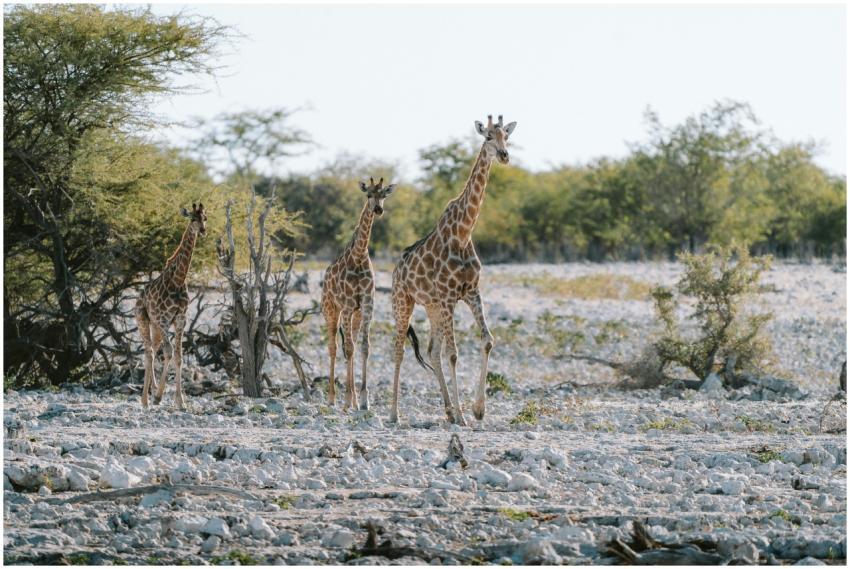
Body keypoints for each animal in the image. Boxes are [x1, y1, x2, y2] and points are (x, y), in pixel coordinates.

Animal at [135, 203, 207, 410]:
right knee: (149, 352)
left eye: (205, 218)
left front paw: (181, 402)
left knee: (153, 349)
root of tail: (139, 297)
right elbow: (168, 353)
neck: (178, 279)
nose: (203, 230)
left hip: (155, 327)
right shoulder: (163, 320)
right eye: (192, 218)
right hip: (143, 320)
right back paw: (145, 400)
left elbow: (178, 357)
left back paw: (151, 392)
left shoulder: (180, 320)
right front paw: (159, 396)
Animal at [321, 177, 396, 411]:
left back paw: (352, 399)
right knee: (334, 347)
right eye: (368, 195)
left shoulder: (367, 304)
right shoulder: (346, 305)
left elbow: (363, 347)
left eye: (384, 194)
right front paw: (347, 399)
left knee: (350, 346)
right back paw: (333, 398)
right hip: (331, 311)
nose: (378, 209)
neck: (359, 255)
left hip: (354, 314)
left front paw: (363, 399)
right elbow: (348, 348)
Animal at [389, 115, 516, 425]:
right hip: (403, 302)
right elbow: (454, 353)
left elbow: (487, 341)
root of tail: (396, 271)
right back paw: (394, 413)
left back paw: (447, 410)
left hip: (433, 307)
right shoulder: (449, 297)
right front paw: (463, 416)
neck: (463, 232)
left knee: (431, 351)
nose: (504, 156)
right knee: (398, 350)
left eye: (507, 137)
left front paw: (477, 409)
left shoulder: (470, 291)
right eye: (488, 138)